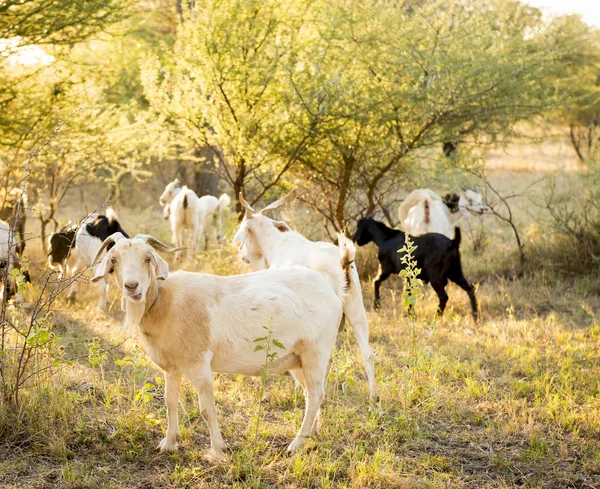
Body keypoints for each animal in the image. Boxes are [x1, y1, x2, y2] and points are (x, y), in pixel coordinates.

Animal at [92, 231, 346, 460]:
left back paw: (295, 445)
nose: (132, 286)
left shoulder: (199, 363)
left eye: (147, 258)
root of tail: (331, 289)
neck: (165, 302)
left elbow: (207, 408)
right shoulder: (172, 368)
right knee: (311, 394)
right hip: (297, 359)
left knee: (315, 394)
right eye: (114, 260)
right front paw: (169, 444)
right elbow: (170, 403)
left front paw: (217, 450)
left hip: (315, 352)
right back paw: (312, 433)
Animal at [232, 191, 378, 400]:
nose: (243, 255)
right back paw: (373, 397)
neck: (278, 244)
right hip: (356, 308)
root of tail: (342, 263)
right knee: (366, 354)